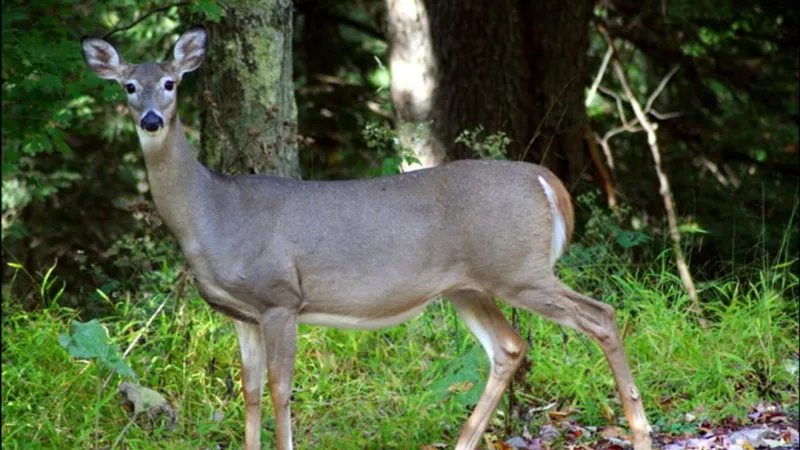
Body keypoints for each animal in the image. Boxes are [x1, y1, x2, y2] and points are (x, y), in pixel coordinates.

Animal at [81, 27, 652, 450]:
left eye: (172, 82)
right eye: (128, 86)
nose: (151, 119)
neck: (213, 212)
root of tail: (547, 182)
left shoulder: (280, 297)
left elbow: (281, 389)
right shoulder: (241, 313)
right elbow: (251, 391)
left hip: (518, 269)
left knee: (600, 315)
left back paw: (641, 433)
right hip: (469, 286)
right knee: (510, 347)